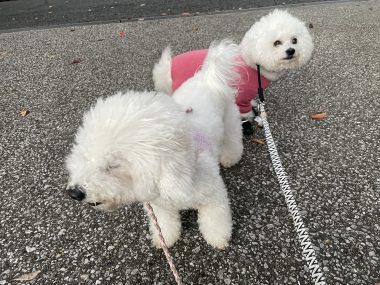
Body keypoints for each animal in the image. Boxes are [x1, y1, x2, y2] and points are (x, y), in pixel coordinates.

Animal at [64, 40, 243, 248]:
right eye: (85, 156)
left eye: (113, 165)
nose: (74, 193)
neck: (176, 179)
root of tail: (207, 76)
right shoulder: (160, 206)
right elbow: (165, 224)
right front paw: (165, 239)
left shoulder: (214, 197)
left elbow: (215, 220)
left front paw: (218, 239)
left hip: (230, 119)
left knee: (232, 139)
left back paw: (230, 157)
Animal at [153, 8, 314, 134]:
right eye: (277, 43)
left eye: (295, 40)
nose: (291, 50)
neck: (254, 63)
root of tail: (166, 66)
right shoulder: (241, 96)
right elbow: (245, 112)